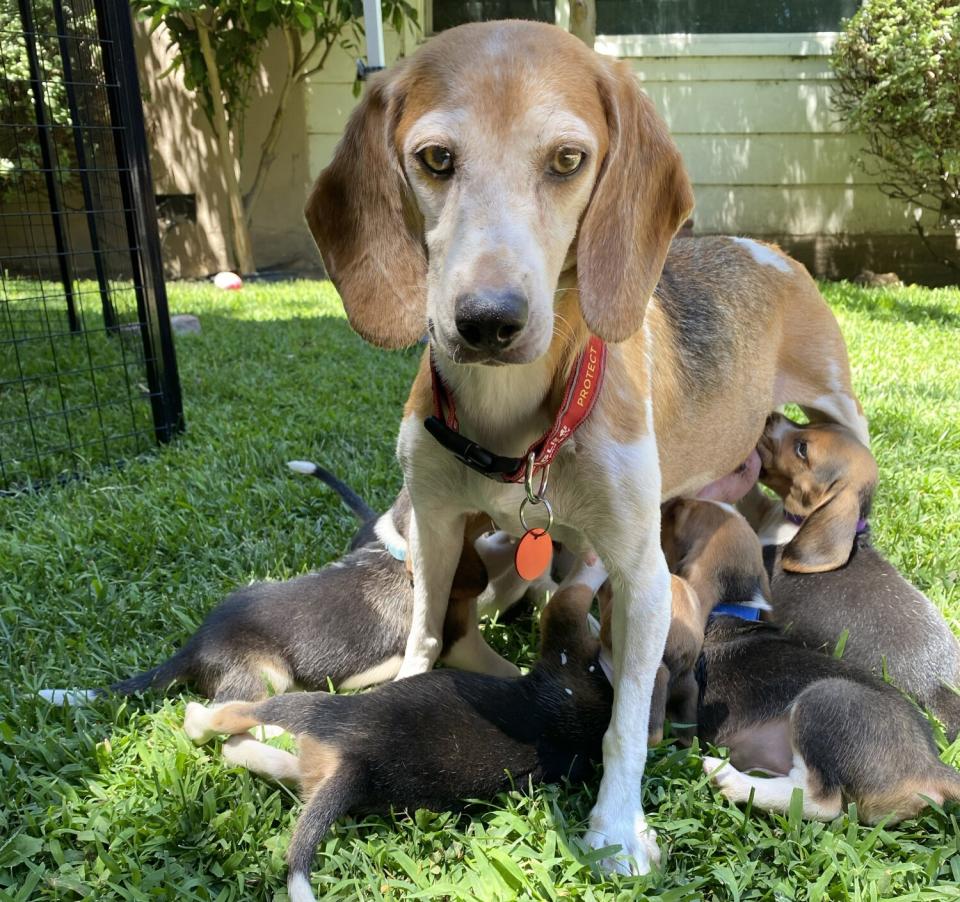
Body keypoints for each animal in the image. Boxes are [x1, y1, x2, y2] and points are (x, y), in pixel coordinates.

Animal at [184, 564, 612, 902]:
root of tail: (357, 765)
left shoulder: (567, 636)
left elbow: (573, 592)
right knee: (273, 759)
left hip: (315, 708)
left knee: (235, 716)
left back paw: (199, 721)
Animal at [304, 19, 868, 868]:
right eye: (435, 159)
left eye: (568, 161)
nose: (488, 320)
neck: (513, 419)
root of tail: (759, 245)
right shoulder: (434, 531)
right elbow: (427, 631)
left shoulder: (641, 573)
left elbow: (626, 722)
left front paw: (617, 827)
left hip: (838, 405)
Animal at [660, 502, 960, 828]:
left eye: (681, 517)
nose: (670, 503)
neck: (735, 606)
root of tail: (930, 766)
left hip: (825, 699)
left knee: (821, 802)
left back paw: (730, 779)